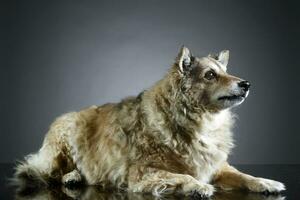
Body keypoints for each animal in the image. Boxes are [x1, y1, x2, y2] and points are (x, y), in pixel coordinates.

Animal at [12, 46, 284, 197]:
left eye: (226, 71)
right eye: (210, 75)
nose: (246, 84)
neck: (198, 121)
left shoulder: (218, 167)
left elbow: (244, 176)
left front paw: (265, 182)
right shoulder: (141, 174)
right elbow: (185, 177)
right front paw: (198, 187)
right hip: (65, 137)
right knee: (44, 171)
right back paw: (71, 176)